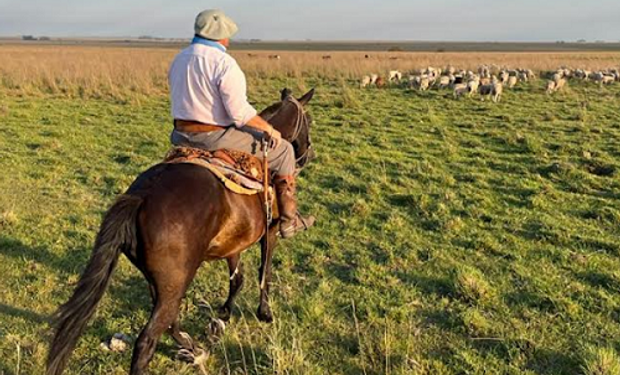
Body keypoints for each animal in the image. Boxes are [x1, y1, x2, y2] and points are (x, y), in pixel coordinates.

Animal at [45, 89, 314, 375]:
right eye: (308, 120)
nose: (307, 154)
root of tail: (141, 196)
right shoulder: (270, 231)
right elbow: (265, 271)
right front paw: (264, 313)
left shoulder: (234, 242)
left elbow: (237, 278)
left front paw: (225, 312)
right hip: (176, 281)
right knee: (148, 339)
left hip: (161, 282)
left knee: (170, 320)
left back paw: (192, 349)